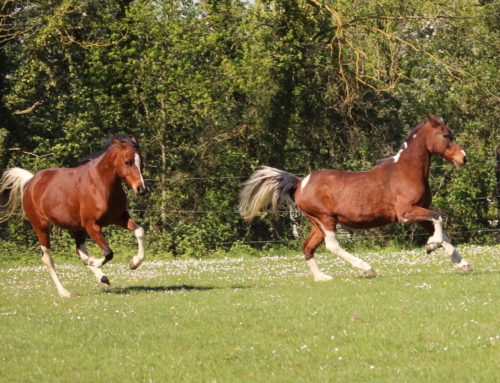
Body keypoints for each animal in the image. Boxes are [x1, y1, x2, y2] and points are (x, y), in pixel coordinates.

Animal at [0, 135, 147, 296]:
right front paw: (94, 261)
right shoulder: (92, 226)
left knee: (79, 251)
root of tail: (30, 182)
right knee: (48, 258)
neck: (100, 186)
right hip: (41, 225)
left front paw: (134, 263)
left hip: (76, 228)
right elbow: (108, 253)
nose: (141, 189)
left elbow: (139, 231)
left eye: (141, 161)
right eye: (127, 162)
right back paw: (64, 291)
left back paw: (102, 277)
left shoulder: (119, 218)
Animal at [240, 115, 470, 282]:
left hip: (316, 223)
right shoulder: (405, 213)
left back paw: (322, 277)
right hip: (325, 219)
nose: (463, 158)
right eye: (446, 135)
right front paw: (431, 246)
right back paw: (366, 268)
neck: (406, 171)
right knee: (332, 245)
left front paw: (461, 263)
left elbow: (442, 232)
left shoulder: (420, 212)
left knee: (307, 246)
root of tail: (300, 182)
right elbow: (439, 218)